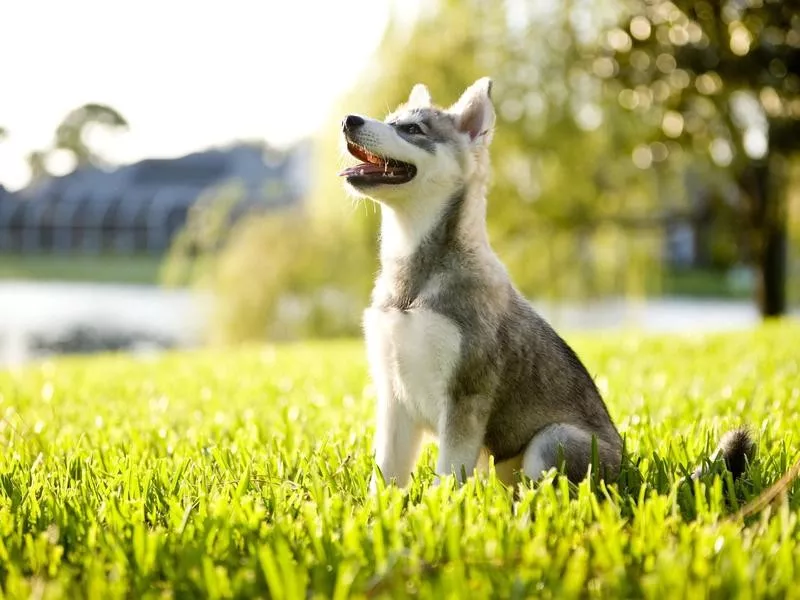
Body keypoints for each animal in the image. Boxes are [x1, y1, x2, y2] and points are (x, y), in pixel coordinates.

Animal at [340, 77, 756, 490]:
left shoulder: (465, 398)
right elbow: (385, 478)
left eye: (412, 129)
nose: (349, 119)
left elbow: (448, 477)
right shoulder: (393, 399)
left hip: (554, 439)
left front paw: (442, 507)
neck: (414, 278)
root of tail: (632, 477)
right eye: (391, 120)